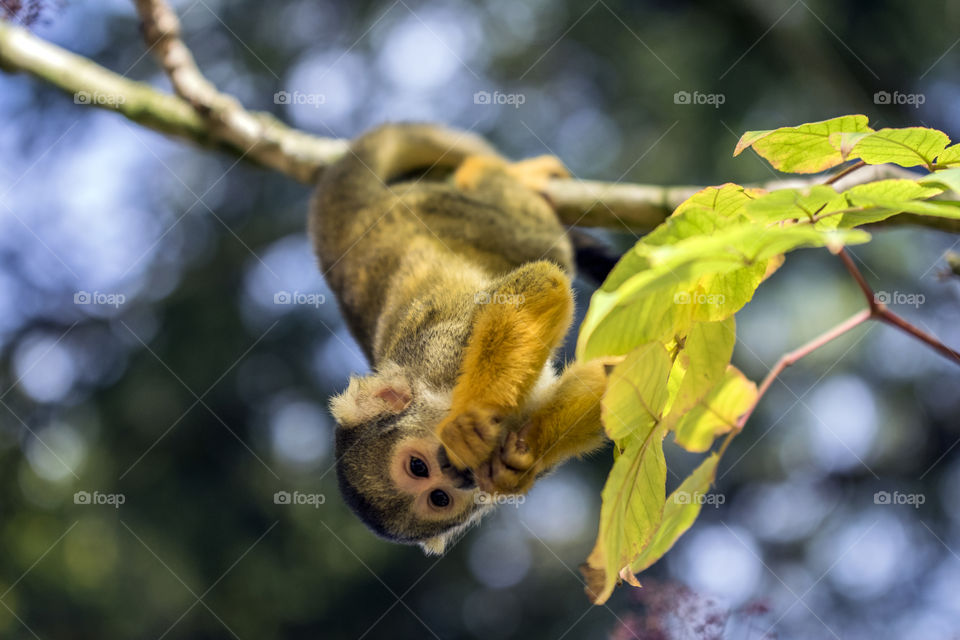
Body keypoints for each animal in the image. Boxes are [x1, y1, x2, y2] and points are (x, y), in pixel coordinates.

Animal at [310, 123, 611, 554]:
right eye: (440, 498)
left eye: (418, 467)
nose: (456, 476)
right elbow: (608, 378)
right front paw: (517, 466)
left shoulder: (442, 350)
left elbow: (535, 284)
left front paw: (471, 421)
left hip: (451, 211)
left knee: (541, 243)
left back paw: (501, 172)